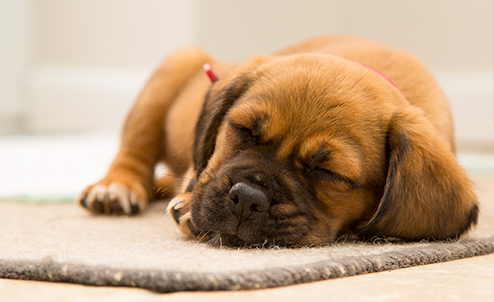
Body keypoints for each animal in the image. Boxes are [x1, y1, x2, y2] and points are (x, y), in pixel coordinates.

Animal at [78, 36, 478, 247]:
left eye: (328, 172)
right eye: (242, 130)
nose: (247, 198)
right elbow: (200, 172)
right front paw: (190, 203)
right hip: (171, 72)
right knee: (134, 153)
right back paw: (116, 187)